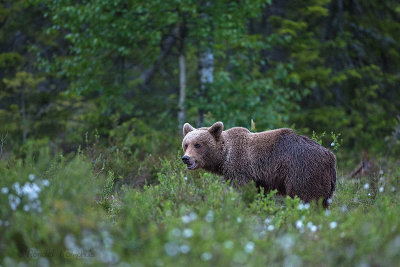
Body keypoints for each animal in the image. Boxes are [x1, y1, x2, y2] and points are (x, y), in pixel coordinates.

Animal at [183, 122, 336, 208]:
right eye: (186, 144)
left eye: (197, 144)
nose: (186, 158)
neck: (225, 157)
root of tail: (330, 156)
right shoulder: (261, 179)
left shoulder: (240, 168)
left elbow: (240, 189)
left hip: (302, 171)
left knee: (306, 198)